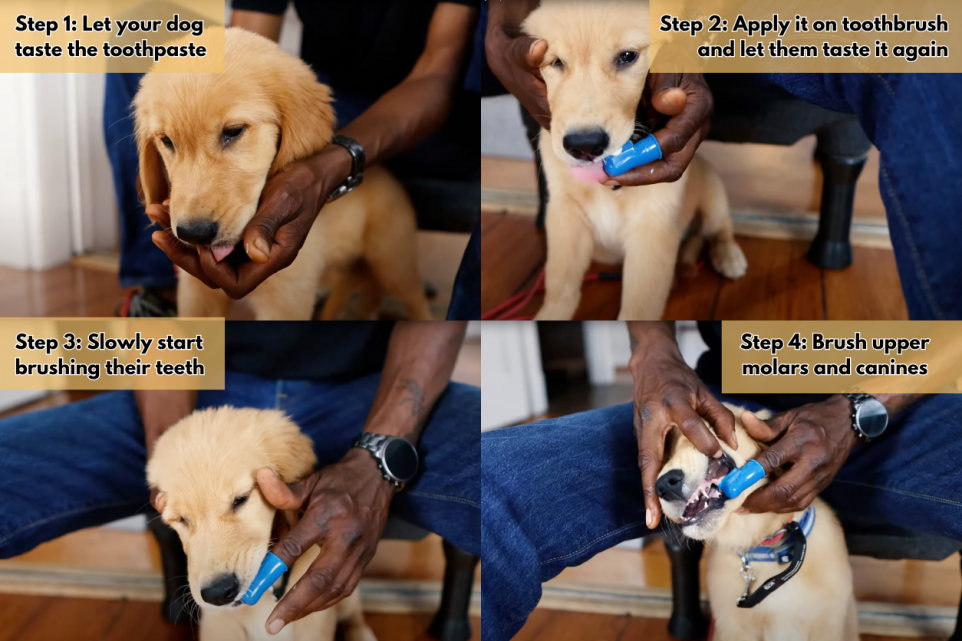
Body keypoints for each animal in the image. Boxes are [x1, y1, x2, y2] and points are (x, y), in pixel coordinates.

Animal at [133, 28, 430, 320]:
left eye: (234, 131)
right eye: (166, 141)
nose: (193, 234)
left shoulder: (287, 297)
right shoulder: (196, 295)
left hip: (393, 263)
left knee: (415, 301)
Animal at [520, 0, 748, 320]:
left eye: (627, 57)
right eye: (556, 62)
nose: (584, 146)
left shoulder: (653, 225)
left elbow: (640, 306)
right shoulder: (565, 212)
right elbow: (560, 281)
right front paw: (548, 317)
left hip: (713, 191)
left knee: (720, 228)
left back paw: (729, 255)